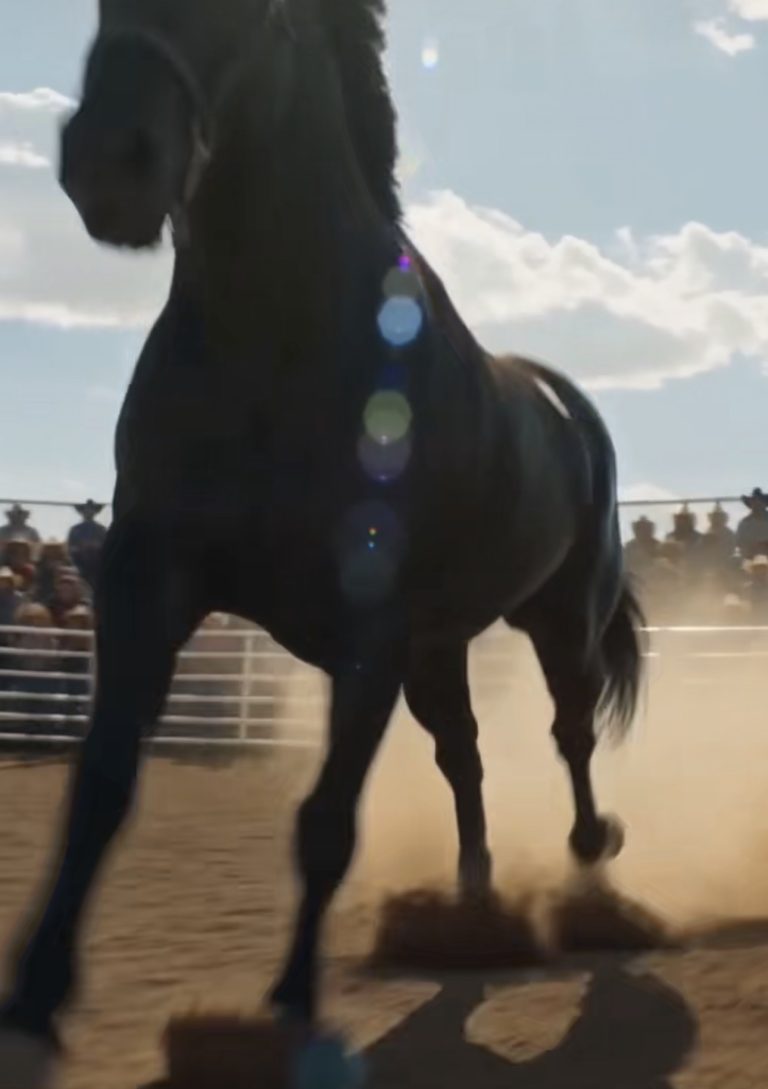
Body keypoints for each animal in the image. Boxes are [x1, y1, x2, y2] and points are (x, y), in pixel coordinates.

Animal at [0, 0, 643, 1072]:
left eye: (252, 16)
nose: (109, 162)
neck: (282, 335)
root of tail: (564, 404)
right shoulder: (148, 580)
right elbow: (101, 786)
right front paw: (37, 996)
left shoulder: (369, 633)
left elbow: (326, 819)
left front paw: (292, 1001)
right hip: (441, 649)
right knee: (465, 755)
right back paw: (472, 906)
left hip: (558, 620)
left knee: (571, 732)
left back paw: (592, 872)